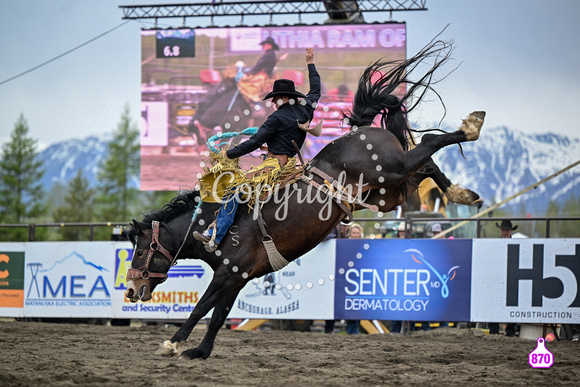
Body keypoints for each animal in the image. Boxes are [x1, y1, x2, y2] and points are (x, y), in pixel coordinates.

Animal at [125, 40, 484, 360]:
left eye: (140, 251)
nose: (130, 290)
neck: (212, 223)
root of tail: (363, 130)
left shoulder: (227, 274)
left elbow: (201, 308)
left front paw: (172, 345)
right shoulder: (238, 277)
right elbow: (218, 316)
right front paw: (200, 351)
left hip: (391, 170)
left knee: (431, 141)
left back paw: (472, 126)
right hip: (388, 191)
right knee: (426, 163)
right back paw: (462, 192)